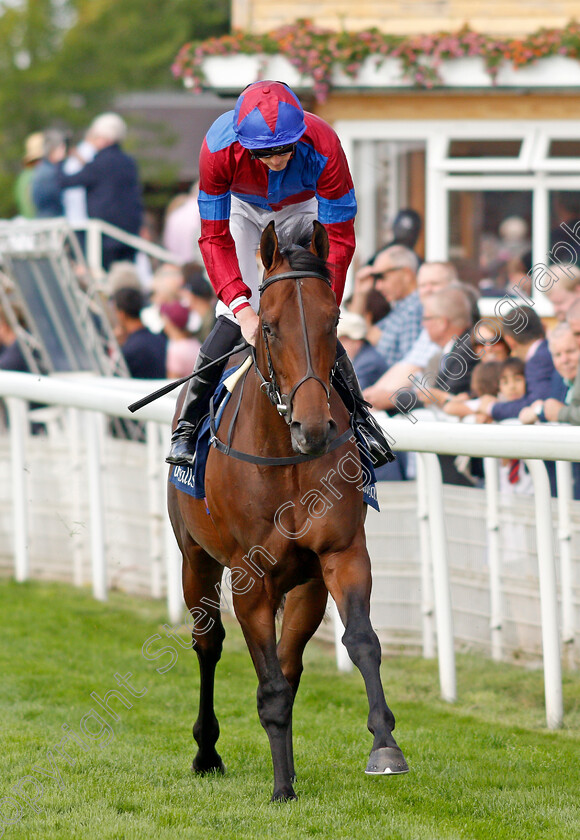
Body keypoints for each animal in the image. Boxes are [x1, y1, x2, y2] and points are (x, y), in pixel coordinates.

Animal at [168, 218, 408, 800]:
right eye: (271, 328)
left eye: (334, 322)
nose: (314, 426)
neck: (287, 458)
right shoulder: (250, 579)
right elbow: (267, 685)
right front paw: (281, 789)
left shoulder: (341, 554)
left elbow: (362, 642)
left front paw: (385, 745)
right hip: (195, 559)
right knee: (208, 644)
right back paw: (207, 751)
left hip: (304, 588)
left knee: (290, 661)